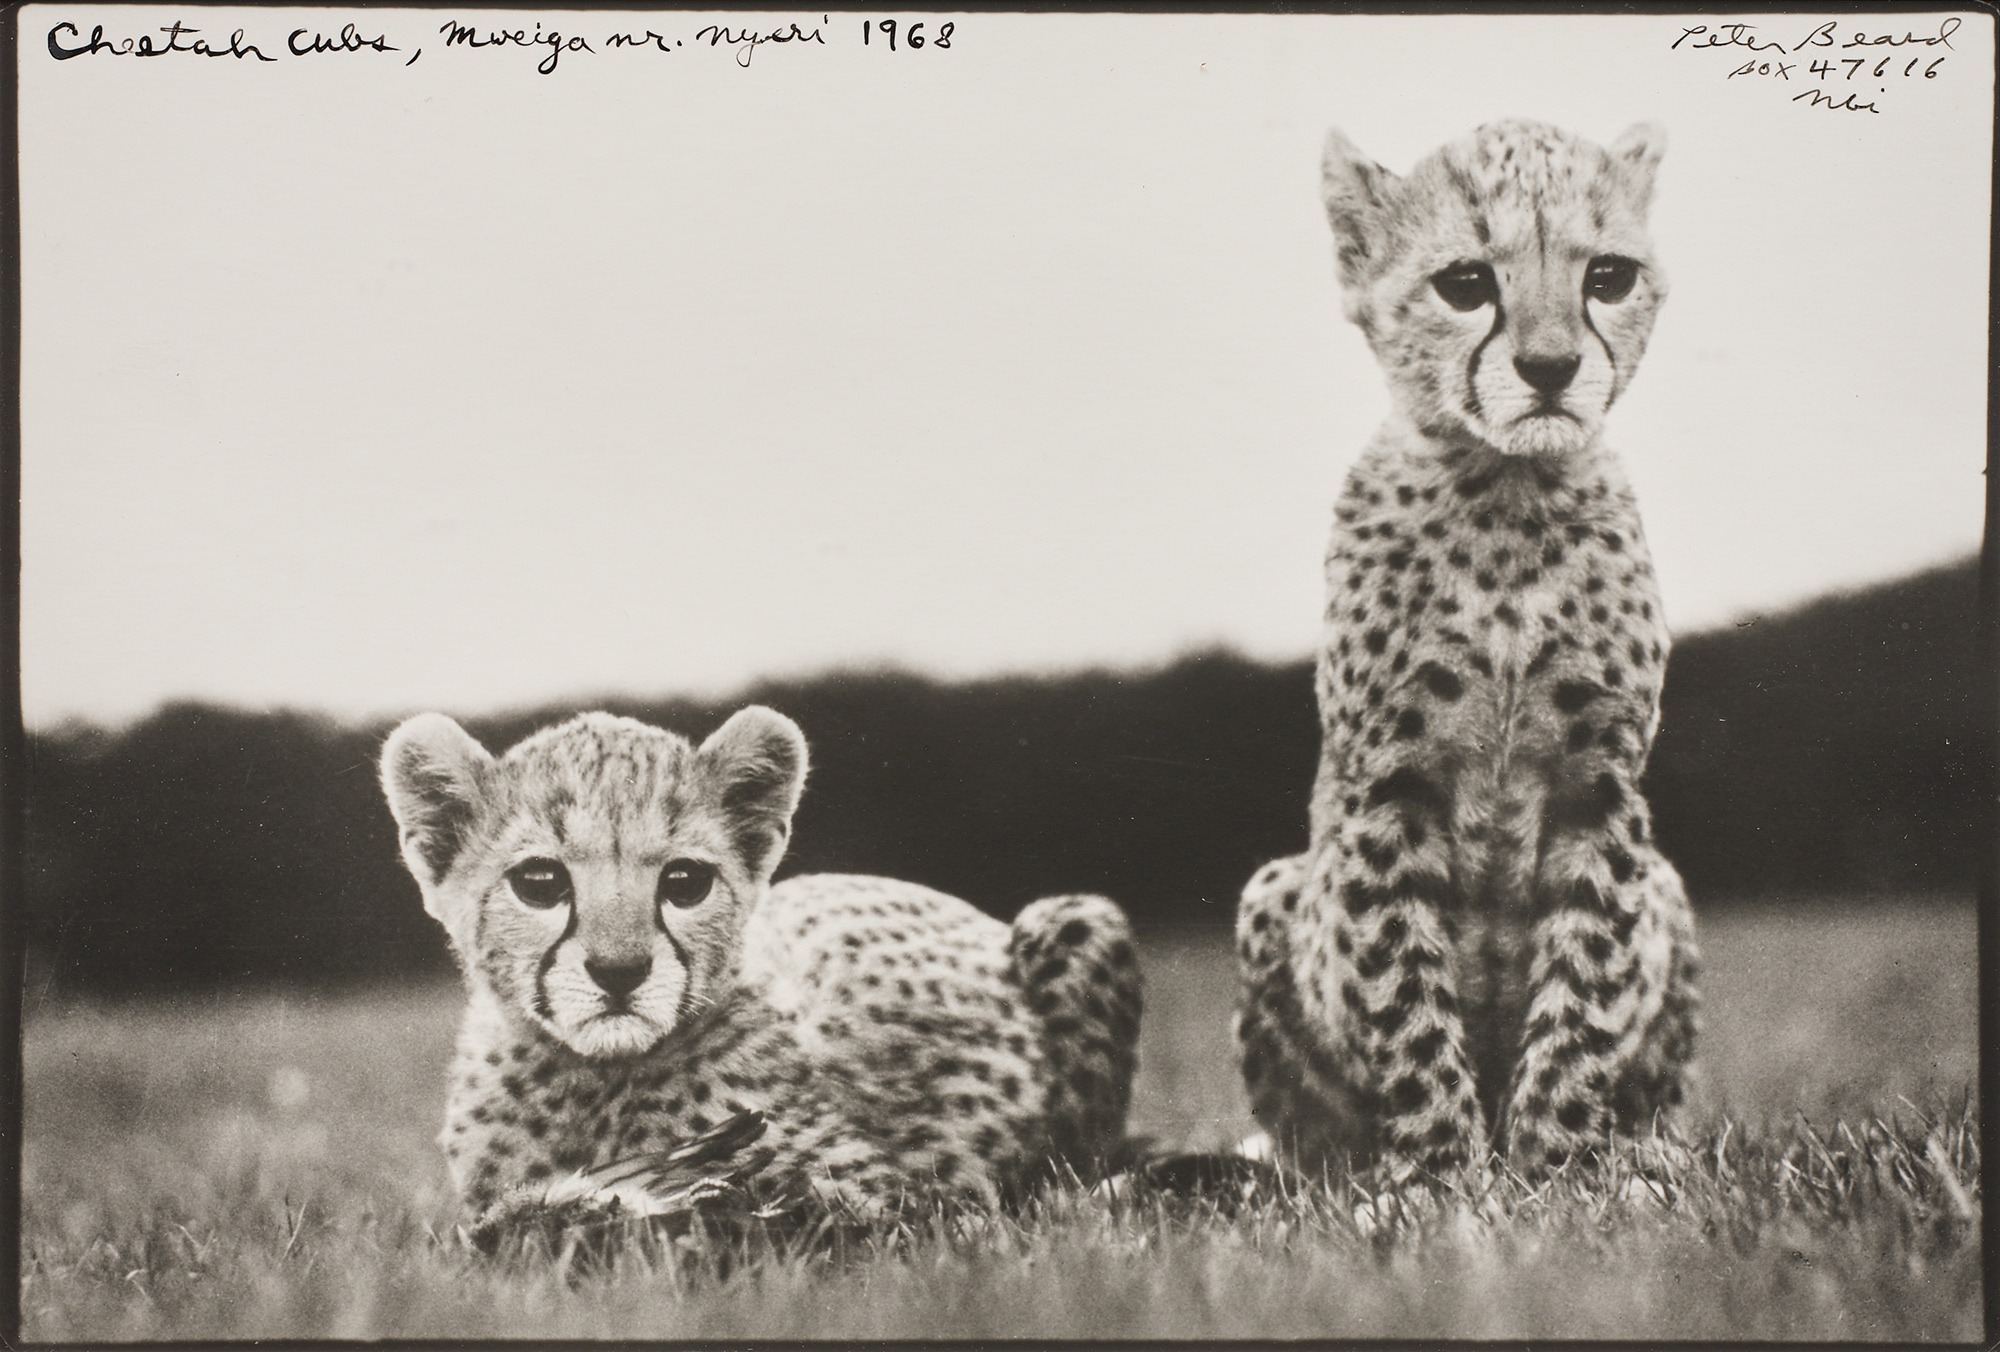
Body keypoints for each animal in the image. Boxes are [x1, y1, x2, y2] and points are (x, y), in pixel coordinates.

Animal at [379, 704, 1142, 1241]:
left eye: (685, 882)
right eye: (540, 883)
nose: (620, 971)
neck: (596, 1079)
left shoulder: (898, 1197)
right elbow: (502, 1225)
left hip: (1078, 918)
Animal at [1234, 119, 1700, 1185]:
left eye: (1607, 276)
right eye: (1465, 283)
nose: (1551, 366)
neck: (1506, 493)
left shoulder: (1602, 785)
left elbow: (1583, 985)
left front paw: (1560, 1170)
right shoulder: (1387, 788)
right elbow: (1405, 991)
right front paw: (1440, 1176)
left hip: (1669, 889)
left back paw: (1649, 1154)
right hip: (1274, 890)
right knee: (1305, 1132)